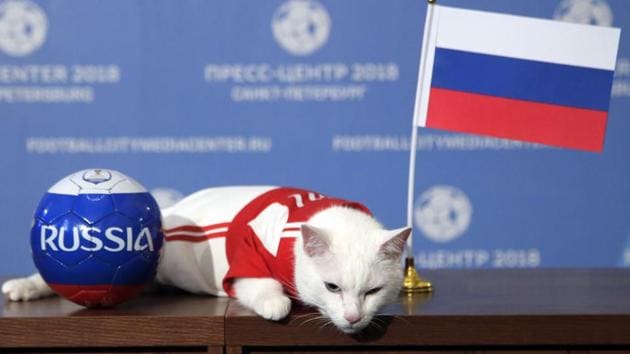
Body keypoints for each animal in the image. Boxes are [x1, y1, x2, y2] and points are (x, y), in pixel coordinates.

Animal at [2, 187, 410, 334]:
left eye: (372, 292)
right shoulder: (246, 260)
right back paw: (21, 287)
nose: (354, 318)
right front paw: (277, 304)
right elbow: (264, 286)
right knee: (53, 278)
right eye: (332, 287)